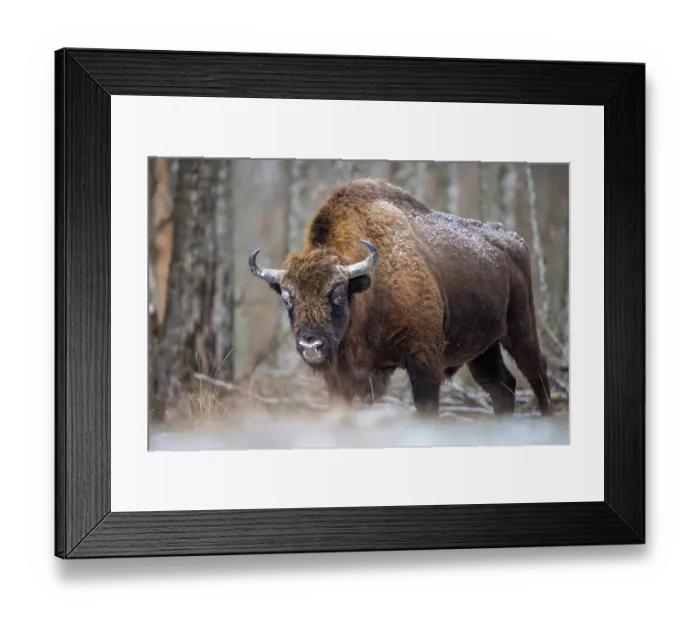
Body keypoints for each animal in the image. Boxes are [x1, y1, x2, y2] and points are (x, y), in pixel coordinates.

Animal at [249, 179, 552, 416]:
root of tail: (513, 240)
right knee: (502, 386)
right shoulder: (342, 379)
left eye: (337, 293)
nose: (311, 345)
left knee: (537, 374)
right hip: (483, 347)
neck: (370, 290)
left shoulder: (424, 361)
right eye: (288, 299)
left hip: (520, 328)